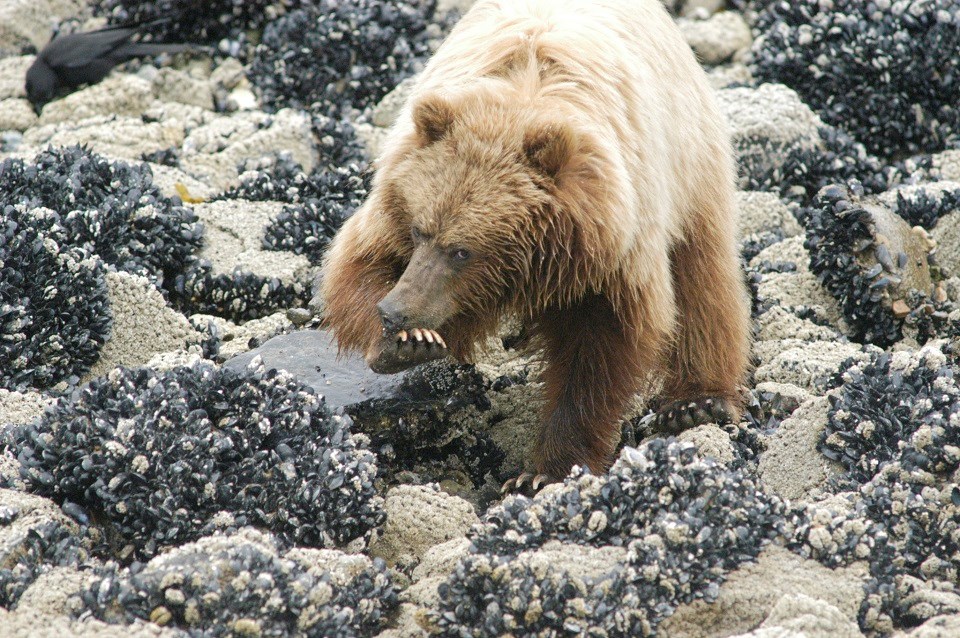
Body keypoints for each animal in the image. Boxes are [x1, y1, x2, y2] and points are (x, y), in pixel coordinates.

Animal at [318, 0, 752, 490]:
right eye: (419, 231)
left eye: (463, 251)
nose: (397, 310)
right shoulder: (397, 198)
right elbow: (360, 263)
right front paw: (404, 342)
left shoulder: (612, 253)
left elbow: (597, 351)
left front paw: (544, 471)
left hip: (690, 163)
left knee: (703, 278)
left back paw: (698, 401)